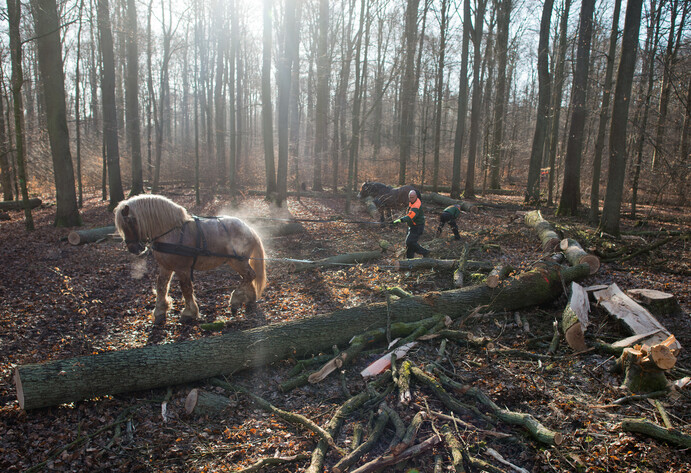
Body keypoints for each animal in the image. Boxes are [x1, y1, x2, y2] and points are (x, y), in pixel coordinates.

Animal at [113, 195, 268, 324]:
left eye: (129, 221)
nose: (133, 248)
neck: (172, 232)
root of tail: (250, 229)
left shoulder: (183, 269)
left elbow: (186, 288)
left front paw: (189, 313)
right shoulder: (165, 267)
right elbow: (161, 286)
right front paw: (160, 311)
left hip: (237, 261)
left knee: (250, 276)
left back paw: (236, 300)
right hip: (238, 261)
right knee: (248, 278)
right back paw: (249, 299)